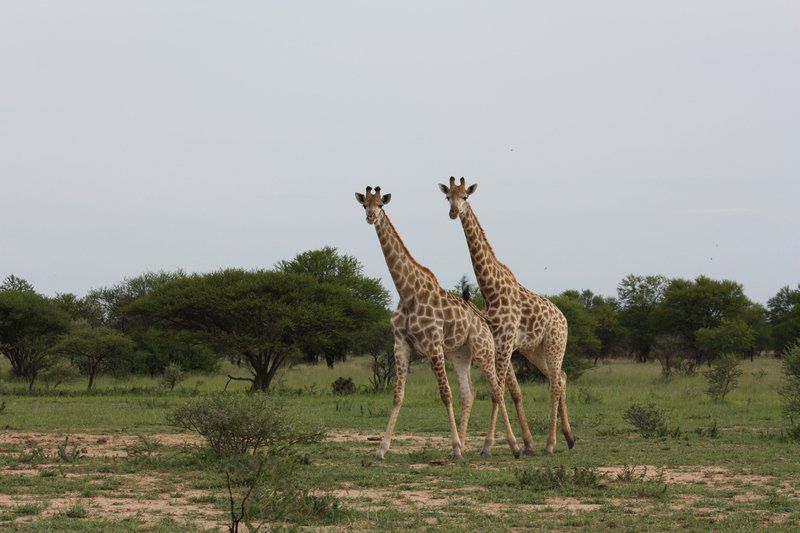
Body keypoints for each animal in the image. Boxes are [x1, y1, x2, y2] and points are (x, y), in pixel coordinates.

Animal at [354, 186, 520, 458]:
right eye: (364, 204)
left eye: (381, 204)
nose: (370, 217)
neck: (407, 293)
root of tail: (482, 319)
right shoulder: (401, 345)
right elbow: (398, 395)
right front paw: (381, 449)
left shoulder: (433, 345)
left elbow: (445, 394)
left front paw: (455, 448)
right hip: (460, 353)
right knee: (470, 392)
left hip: (483, 349)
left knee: (496, 390)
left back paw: (511, 447)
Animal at [438, 178, 576, 454]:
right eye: (448, 197)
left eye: (465, 197)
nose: (454, 212)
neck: (490, 289)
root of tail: (564, 319)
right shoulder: (502, 345)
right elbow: (512, 391)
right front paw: (526, 444)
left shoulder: (503, 343)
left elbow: (497, 391)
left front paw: (488, 446)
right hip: (535, 350)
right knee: (562, 378)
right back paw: (568, 437)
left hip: (555, 344)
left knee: (555, 384)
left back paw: (551, 444)